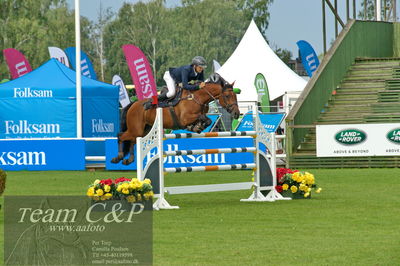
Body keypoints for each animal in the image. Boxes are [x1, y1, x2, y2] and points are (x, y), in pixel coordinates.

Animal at [111, 72, 239, 164]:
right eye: (227, 96)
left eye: (236, 95)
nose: (237, 113)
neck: (197, 97)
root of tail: (133, 104)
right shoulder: (184, 118)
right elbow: (205, 118)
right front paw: (196, 127)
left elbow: (207, 120)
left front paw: (196, 127)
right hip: (136, 129)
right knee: (121, 136)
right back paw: (118, 157)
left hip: (144, 130)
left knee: (132, 140)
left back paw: (129, 160)